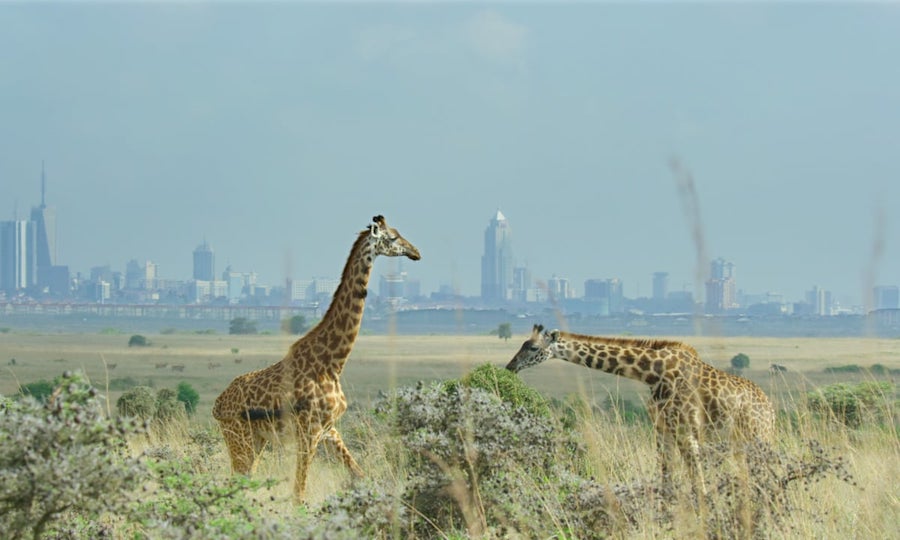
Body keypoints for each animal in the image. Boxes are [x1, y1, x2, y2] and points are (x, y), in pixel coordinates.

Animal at [212, 215, 420, 503]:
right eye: (392, 238)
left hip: (255, 439)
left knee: (242, 481)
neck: (333, 364)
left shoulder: (328, 429)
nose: (416, 252)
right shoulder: (308, 431)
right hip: (238, 437)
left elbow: (360, 474)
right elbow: (299, 493)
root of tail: (217, 405)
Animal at [506, 324, 775, 495]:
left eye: (532, 348)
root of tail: (770, 409)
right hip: (741, 441)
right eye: (523, 344)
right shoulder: (662, 428)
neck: (651, 373)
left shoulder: (685, 428)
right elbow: (667, 476)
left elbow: (696, 480)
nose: (510, 366)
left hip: (756, 436)